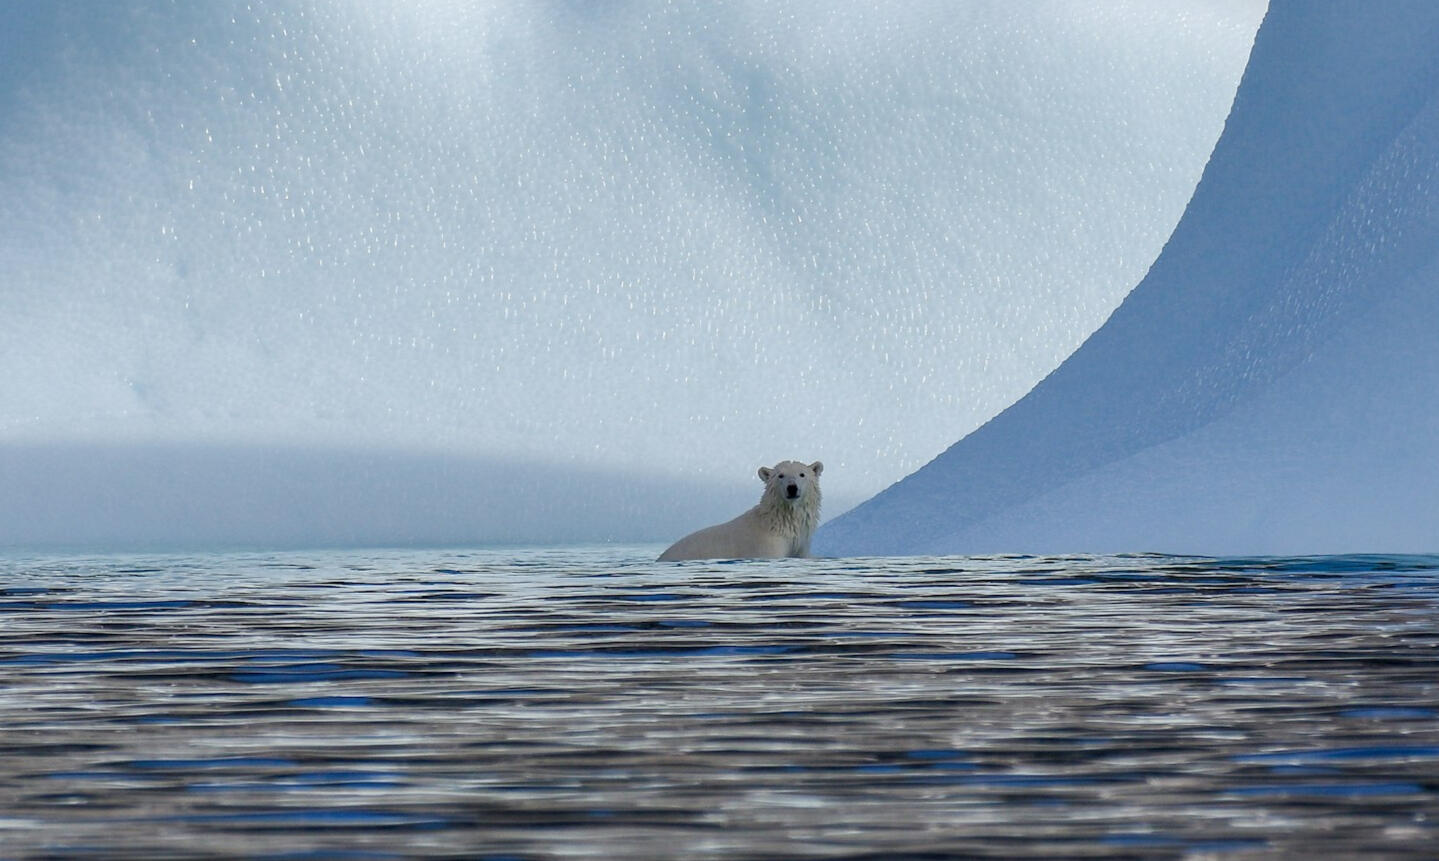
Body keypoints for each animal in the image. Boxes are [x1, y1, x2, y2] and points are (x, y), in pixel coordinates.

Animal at [658, 460, 823, 561]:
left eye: (802, 474)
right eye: (780, 475)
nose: (792, 488)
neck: (780, 523)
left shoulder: (801, 543)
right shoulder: (766, 545)